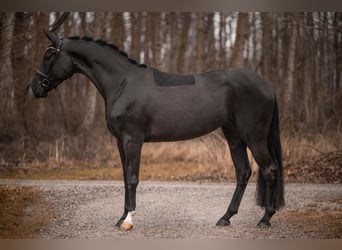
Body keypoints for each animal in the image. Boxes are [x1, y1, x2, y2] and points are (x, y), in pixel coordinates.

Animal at [29, 31, 284, 230]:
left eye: (49, 55)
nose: (34, 88)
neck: (122, 84)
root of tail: (267, 86)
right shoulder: (120, 142)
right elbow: (125, 178)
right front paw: (121, 217)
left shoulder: (133, 140)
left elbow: (132, 178)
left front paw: (128, 221)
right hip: (234, 135)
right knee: (243, 172)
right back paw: (225, 217)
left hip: (254, 137)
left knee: (270, 170)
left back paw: (265, 219)